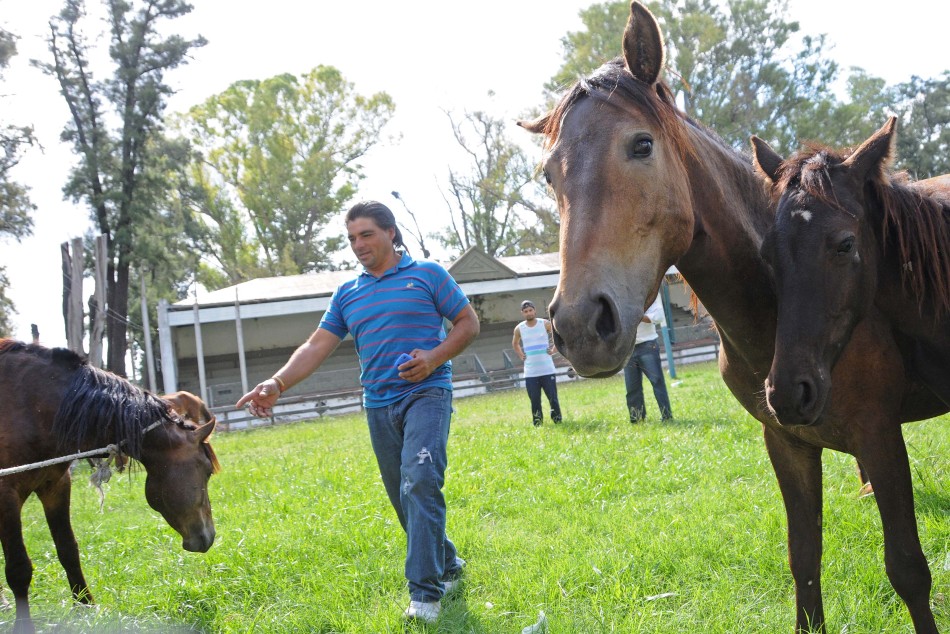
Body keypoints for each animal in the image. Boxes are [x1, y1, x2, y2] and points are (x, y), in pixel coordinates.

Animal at [0, 338, 221, 634]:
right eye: (207, 472)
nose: (208, 536)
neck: (32, 404)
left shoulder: (55, 486)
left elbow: (68, 549)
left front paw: (85, 607)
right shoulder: (6, 497)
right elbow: (19, 568)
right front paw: (24, 626)